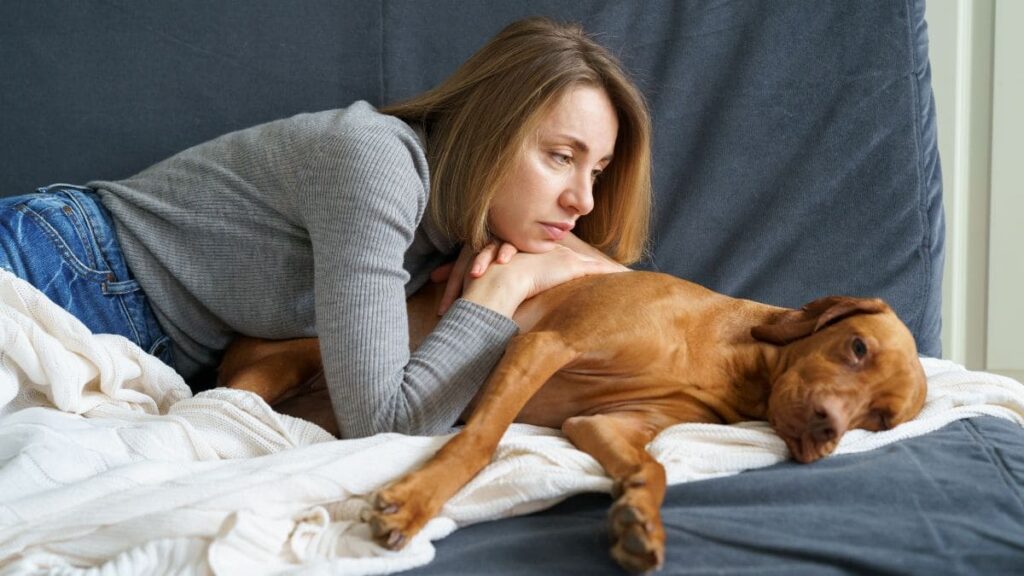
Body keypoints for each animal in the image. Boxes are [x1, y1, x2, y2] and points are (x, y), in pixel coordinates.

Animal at [218, 270, 929, 569]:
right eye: (856, 347)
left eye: (880, 420)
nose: (826, 429)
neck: (730, 359)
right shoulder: (542, 346)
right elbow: (479, 442)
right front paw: (414, 503)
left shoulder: (603, 426)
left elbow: (652, 468)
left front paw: (640, 519)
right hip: (286, 363)